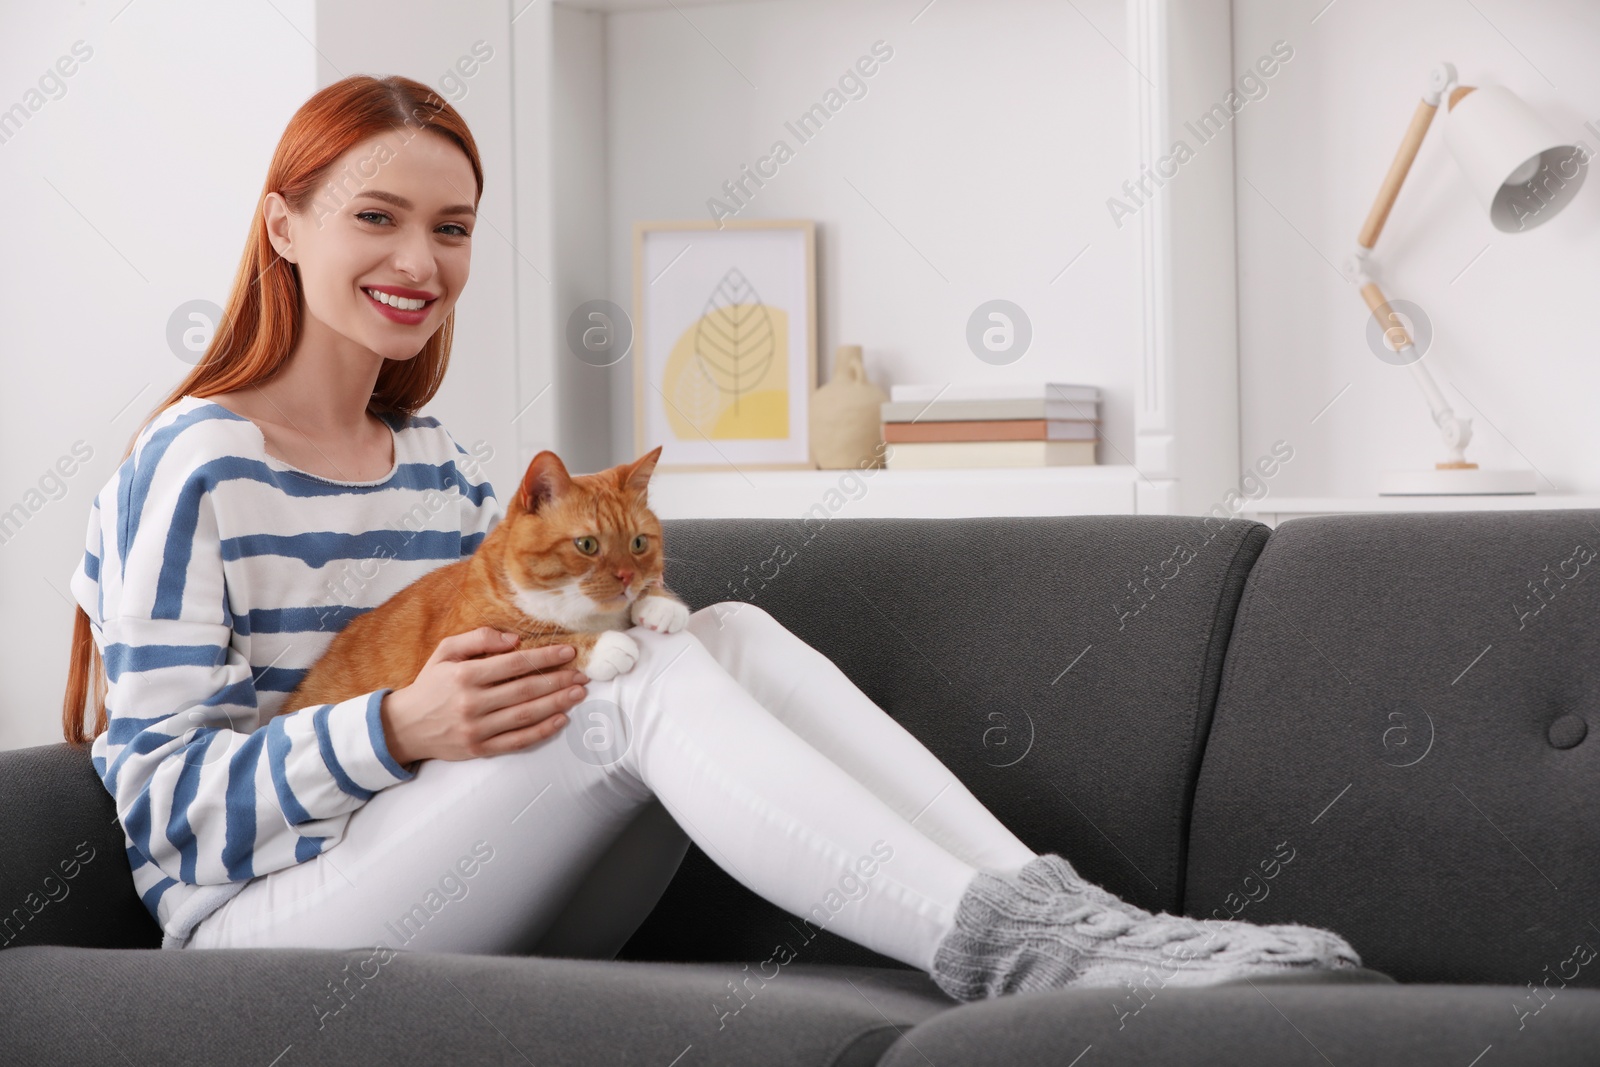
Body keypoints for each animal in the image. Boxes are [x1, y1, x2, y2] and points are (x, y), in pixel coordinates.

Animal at [278, 441, 691, 726]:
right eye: (587, 545)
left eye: (638, 543)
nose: (626, 577)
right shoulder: (468, 653)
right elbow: (541, 641)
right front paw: (606, 646)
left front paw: (660, 603)